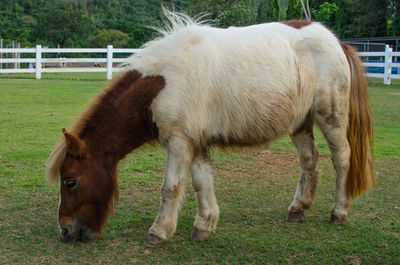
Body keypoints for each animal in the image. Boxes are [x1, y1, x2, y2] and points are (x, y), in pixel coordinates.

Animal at [47, 12, 376, 248]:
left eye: (71, 181)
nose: (64, 231)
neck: (161, 83)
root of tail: (337, 43)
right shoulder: (195, 142)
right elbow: (201, 182)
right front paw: (205, 224)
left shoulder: (179, 142)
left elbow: (171, 186)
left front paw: (159, 232)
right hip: (300, 123)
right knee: (309, 161)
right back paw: (297, 209)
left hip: (330, 117)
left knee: (342, 159)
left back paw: (339, 212)